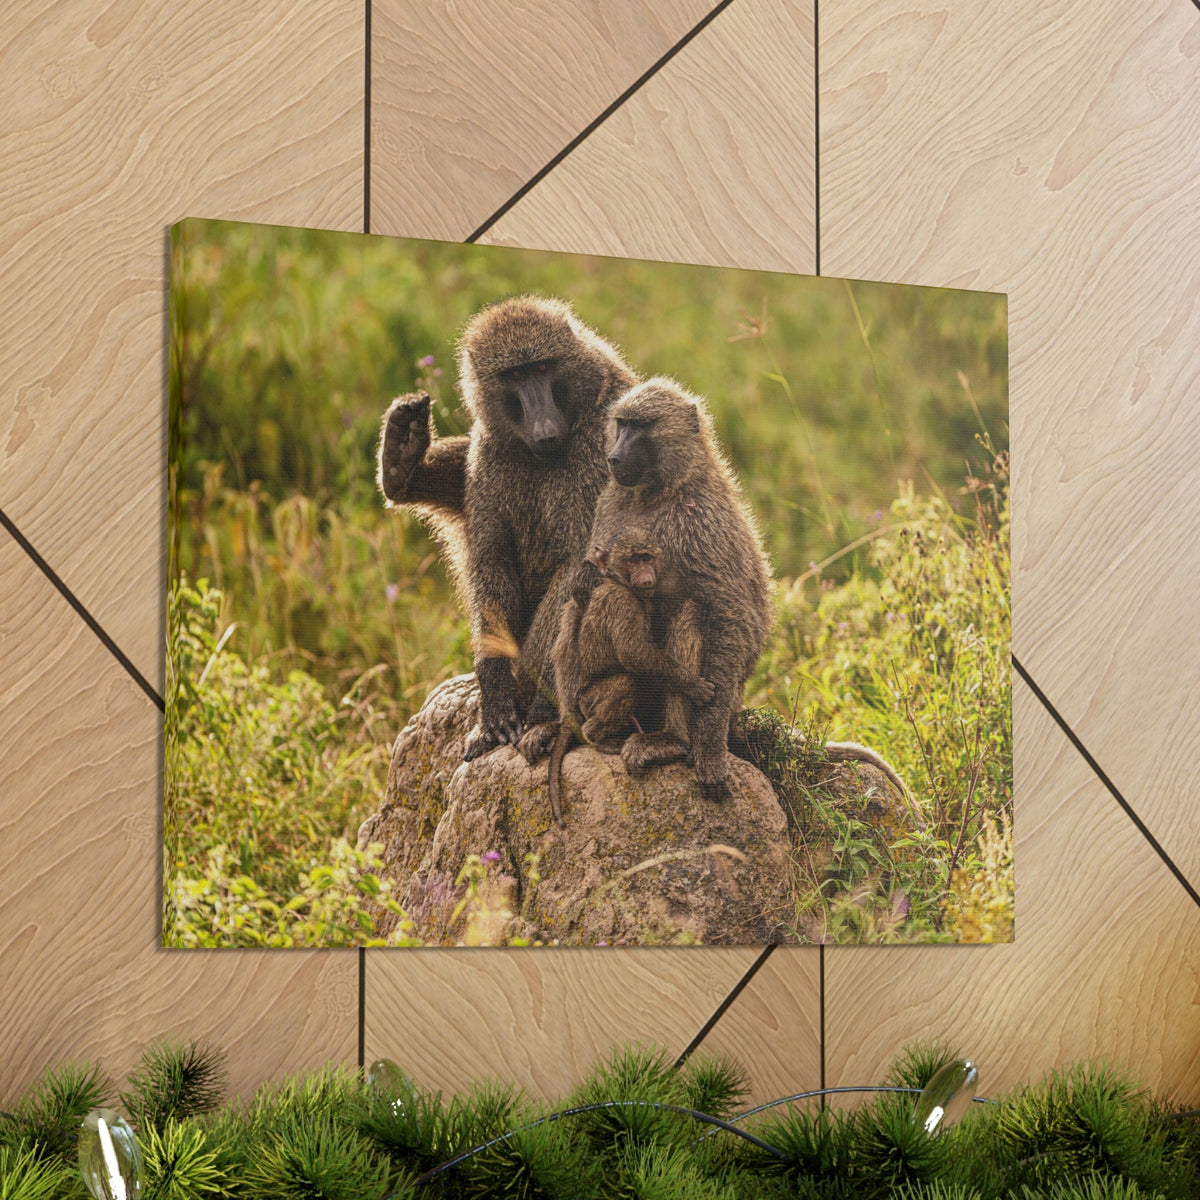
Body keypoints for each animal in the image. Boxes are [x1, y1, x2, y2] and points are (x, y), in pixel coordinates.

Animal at [377, 296, 639, 760]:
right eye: (515, 375)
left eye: (543, 368)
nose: (545, 426)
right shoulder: (493, 449)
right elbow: (491, 556)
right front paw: (497, 696)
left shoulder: (602, 449)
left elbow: (579, 569)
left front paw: (534, 708)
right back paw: (400, 463)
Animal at [526, 530, 715, 824]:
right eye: (633, 560)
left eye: (646, 557)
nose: (646, 574)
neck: (618, 581)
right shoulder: (621, 601)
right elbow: (633, 653)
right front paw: (693, 685)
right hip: (589, 700)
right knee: (627, 683)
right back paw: (597, 738)